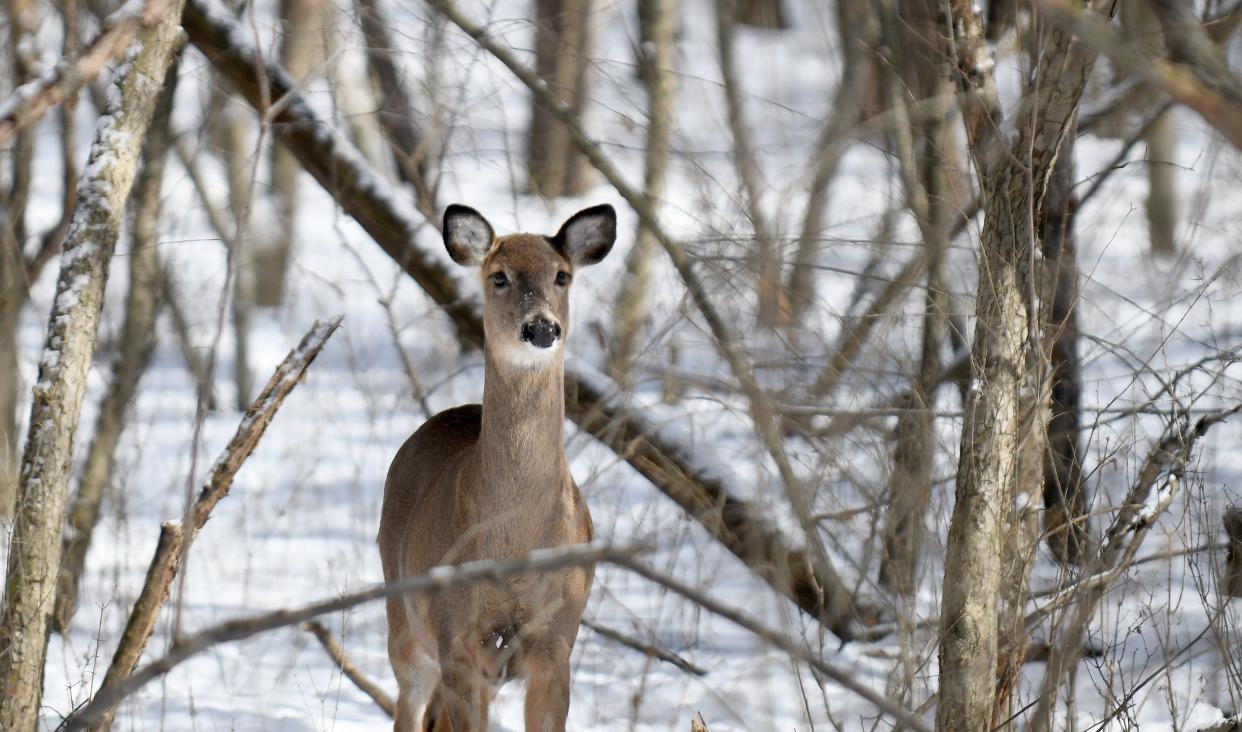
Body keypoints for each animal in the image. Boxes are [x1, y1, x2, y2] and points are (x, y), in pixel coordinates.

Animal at [372, 202, 616, 725]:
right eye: (498, 276)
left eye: (562, 275)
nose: (541, 327)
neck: (515, 546)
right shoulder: (458, 639)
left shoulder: (558, 640)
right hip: (403, 618)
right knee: (407, 708)